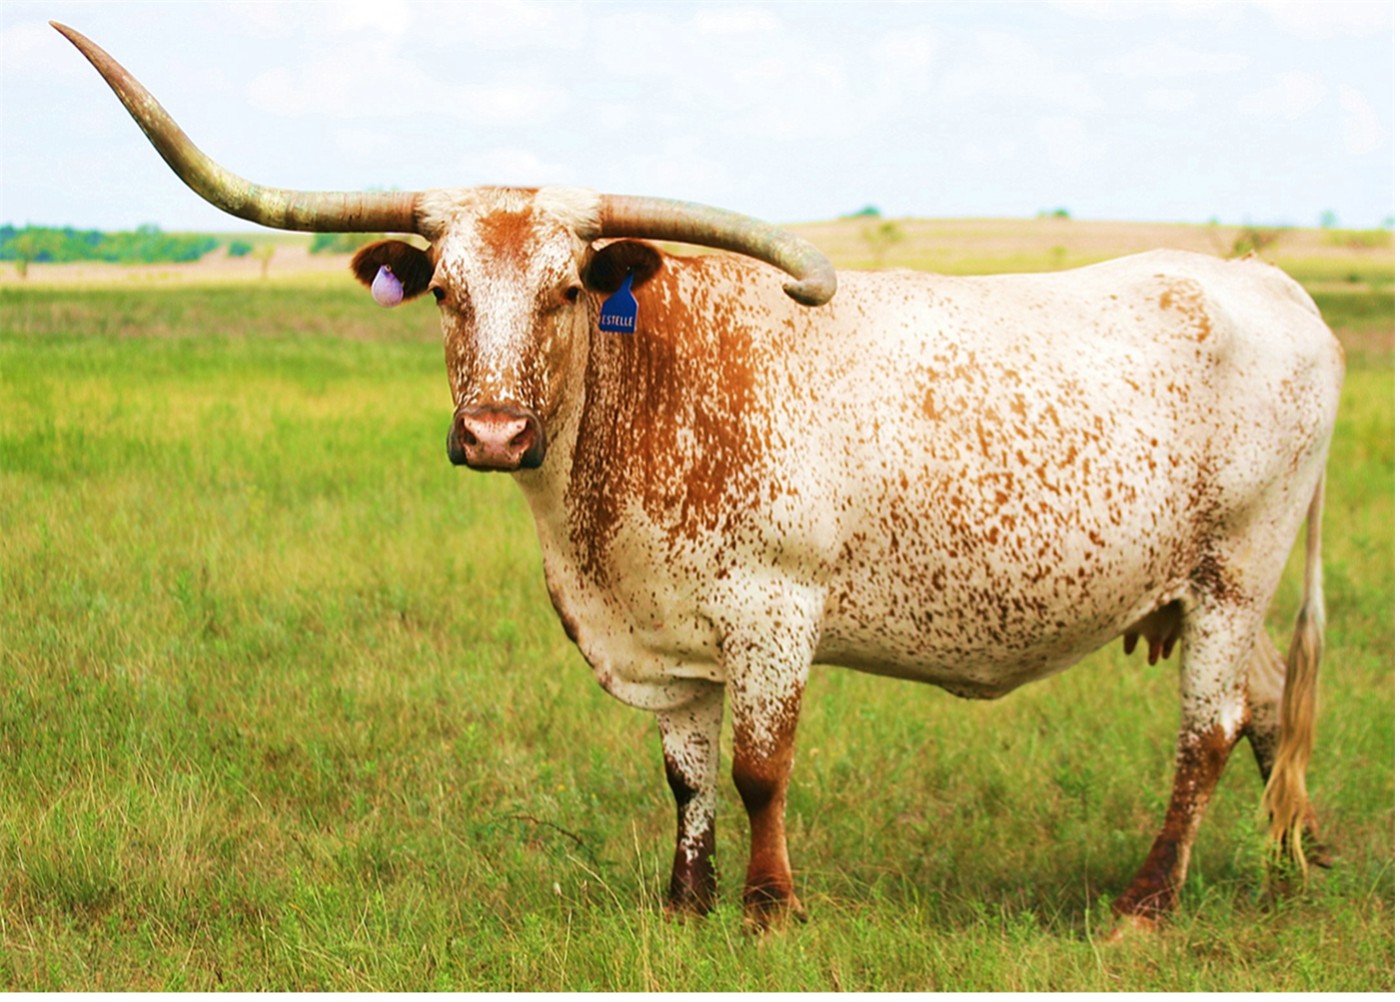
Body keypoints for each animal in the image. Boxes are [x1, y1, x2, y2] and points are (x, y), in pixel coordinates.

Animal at [57, 22, 1342, 936]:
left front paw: (770, 913)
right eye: (444, 292)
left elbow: (759, 769)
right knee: (1270, 705)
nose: (493, 433)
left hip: (1232, 571)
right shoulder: (661, 636)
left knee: (1209, 729)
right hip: (1201, 591)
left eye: (567, 290)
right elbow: (684, 778)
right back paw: (1296, 864)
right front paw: (683, 909)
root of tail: (1267, 284)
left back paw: (1143, 910)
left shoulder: (775, 611)